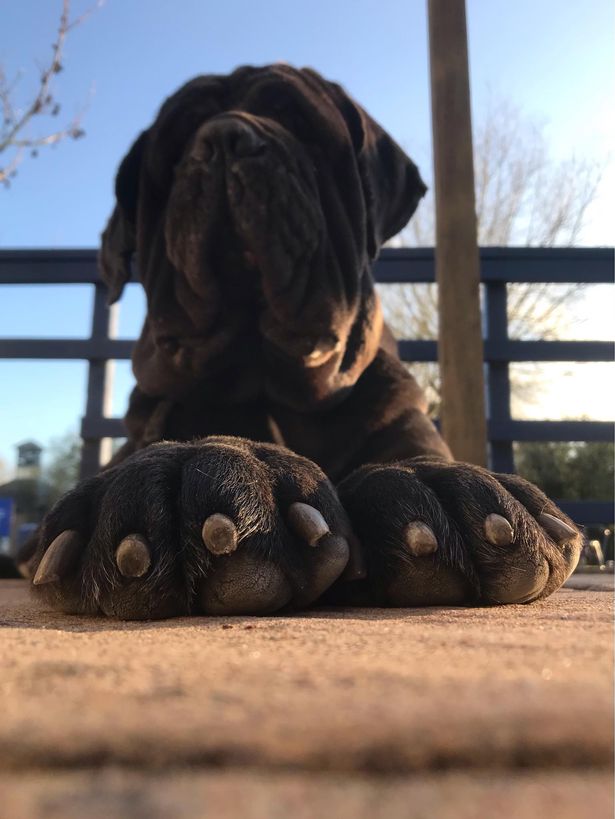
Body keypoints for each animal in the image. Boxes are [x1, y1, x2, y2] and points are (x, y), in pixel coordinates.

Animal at [28, 64, 584, 620]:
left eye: (296, 120)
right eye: (178, 143)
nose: (224, 139)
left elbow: (419, 456)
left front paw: (437, 485)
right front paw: (208, 466)